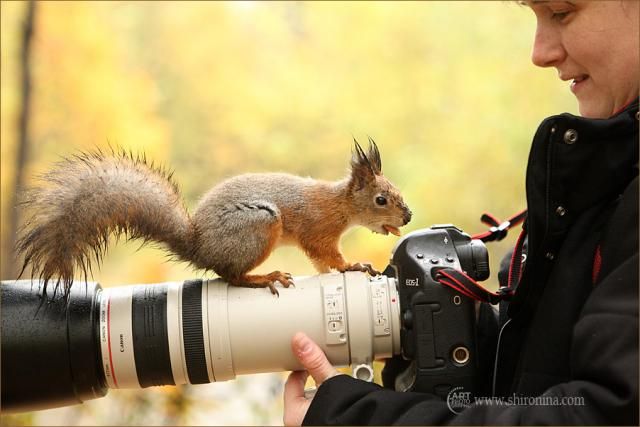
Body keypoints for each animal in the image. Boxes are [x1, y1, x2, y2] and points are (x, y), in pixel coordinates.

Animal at [16, 138, 412, 296]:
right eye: (381, 199)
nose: (408, 216)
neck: (339, 205)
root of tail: (198, 246)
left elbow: (322, 265)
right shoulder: (318, 231)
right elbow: (328, 257)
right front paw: (353, 266)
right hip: (259, 226)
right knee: (229, 275)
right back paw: (263, 277)